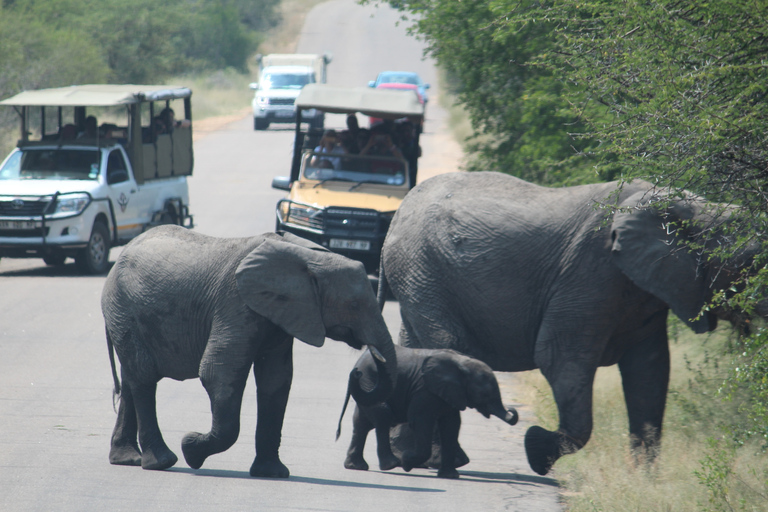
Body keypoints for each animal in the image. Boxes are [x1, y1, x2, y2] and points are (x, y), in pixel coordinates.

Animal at [102, 226, 396, 478]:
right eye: (354, 304)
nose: (359, 372)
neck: (307, 255)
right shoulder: (236, 303)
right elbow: (217, 373)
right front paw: (191, 449)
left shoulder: (282, 314)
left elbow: (276, 381)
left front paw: (273, 474)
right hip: (122, 308)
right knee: (143, 376)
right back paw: (163, 462)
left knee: (132, 378)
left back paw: (128, 459)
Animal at [334, 344, 516, 480]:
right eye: (485, 394)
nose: (512, 411)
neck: (463, 364)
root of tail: (359, 363)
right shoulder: (424, 390)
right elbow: (421, 421)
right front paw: (407, 462)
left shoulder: (450, 393)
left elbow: (451, 425)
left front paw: (450, 476)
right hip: (369, 381)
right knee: (382, 416)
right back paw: (392, 464)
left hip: (366, 385)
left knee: (361, 423)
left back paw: (356, 466)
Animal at [380, 172, 768, 476]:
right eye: (749, 264)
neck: (697, 206)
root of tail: (396, 219)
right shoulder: (591, 272)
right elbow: (559, 357)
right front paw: (536, 449)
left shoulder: (645, 291)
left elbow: (650, 370)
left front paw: (643, 480)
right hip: (424, 271)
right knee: (449, 345)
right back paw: (441, 462)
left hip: (419, 277)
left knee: (415, 348)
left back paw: (409, 459)